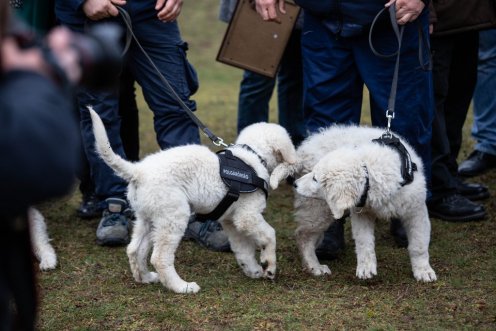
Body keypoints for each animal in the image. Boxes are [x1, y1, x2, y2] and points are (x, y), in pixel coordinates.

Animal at [88, 107, 294, 294]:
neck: (253, 156)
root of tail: (138, 171)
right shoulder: (247, 216)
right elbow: (270, 234)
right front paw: (269, 266)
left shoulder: (231, 222)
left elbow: (243, 248)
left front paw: (252, 269)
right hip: (173, 216)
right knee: (159, 258)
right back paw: (182, 287)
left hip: (148, 218)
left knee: (134, 249)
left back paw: (145, 278)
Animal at [272, 125, 438, 282]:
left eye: (315, 178)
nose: (296, 185)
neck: (371, 173)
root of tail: (302, 152)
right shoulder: (361, 214)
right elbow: (364, 242)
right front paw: (366, 268)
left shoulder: (416, 211)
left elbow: (419, 245)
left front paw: (423, 270)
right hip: (319, 208)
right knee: (303, 235)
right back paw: (314, 266)